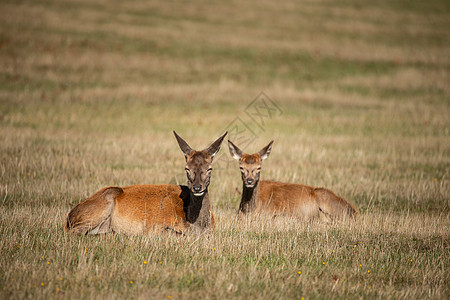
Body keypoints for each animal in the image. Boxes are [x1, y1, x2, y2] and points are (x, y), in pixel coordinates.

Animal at [64, 132, 227, 236]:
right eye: (187, 168)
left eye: (210, 168)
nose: (197, 187)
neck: (197, 226)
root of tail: (69, 217)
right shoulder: (155, 228)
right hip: (103, 201)